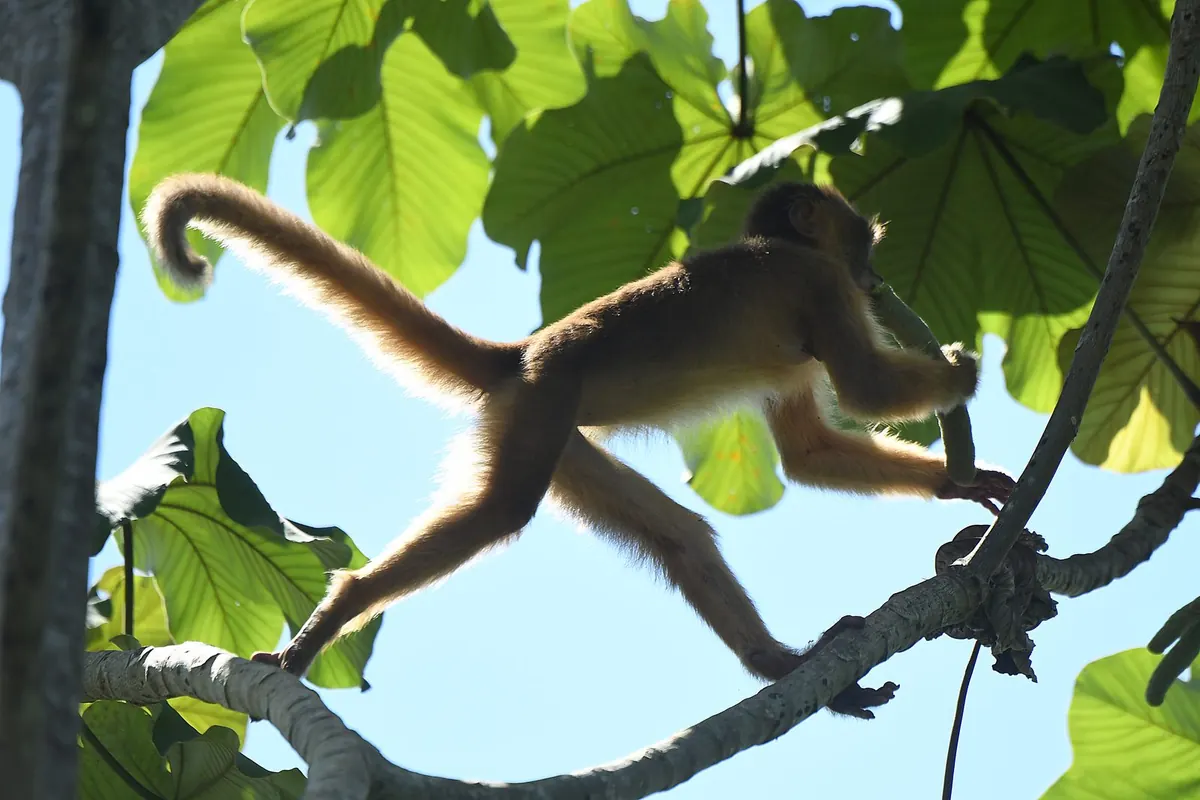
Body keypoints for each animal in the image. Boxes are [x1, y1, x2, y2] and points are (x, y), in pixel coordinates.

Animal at [141, 174, 1015, 719]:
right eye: (863, 243)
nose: (874, 278)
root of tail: (523, 355)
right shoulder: (816, 284)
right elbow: (863, 390)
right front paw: (961, 372)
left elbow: (806, 454)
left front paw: (961, 482)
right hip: (543, 410)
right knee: (502, 511)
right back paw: (343, 607)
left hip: (561, 441)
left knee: (681, 535)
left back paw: (781, 666)